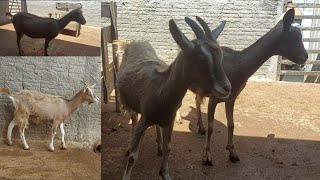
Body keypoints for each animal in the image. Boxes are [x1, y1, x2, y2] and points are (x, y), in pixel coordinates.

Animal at [117, 17, 230, 180]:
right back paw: (129, 145)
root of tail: (135, 43)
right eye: (201, 58)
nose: (227, 88)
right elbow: (133, 155)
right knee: (133, 120)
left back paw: (158, 146)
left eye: (220, 55)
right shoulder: (144, 119)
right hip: (127, 103)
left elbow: (168, 148)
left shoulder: (169, 121)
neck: (161, 90)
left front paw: (165, 173)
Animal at [186, 8, 308, 166]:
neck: (237, 66)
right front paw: (206, 157)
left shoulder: (232, 98)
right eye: (294, 37)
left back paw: (200, 127)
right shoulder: (214, 97)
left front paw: (232, 153)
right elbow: (212, 127)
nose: (305, 57)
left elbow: (231, 124)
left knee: (196, 99)